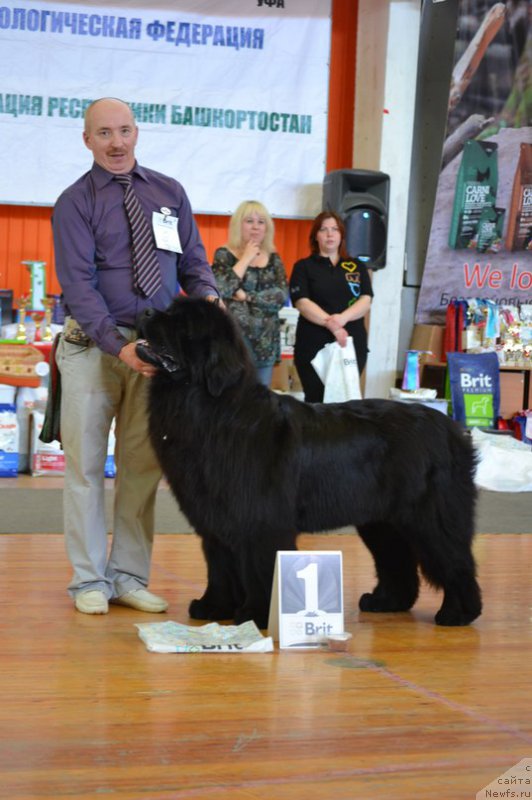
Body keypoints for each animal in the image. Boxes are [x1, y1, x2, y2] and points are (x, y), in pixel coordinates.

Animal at [137, 296, 482, 628]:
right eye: (169, 310)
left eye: (182, 324)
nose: (146, 311)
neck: (212, 408)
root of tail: (452, 429)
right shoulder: (215, 518)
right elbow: (220, 566)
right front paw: (213, 607)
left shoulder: (260, 522)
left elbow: (260, 568)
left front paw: (257, 614)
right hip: (381, 519)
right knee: (396, 559)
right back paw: (387, 602)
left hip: (430, 516)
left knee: (454, 559)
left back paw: (458, 613)